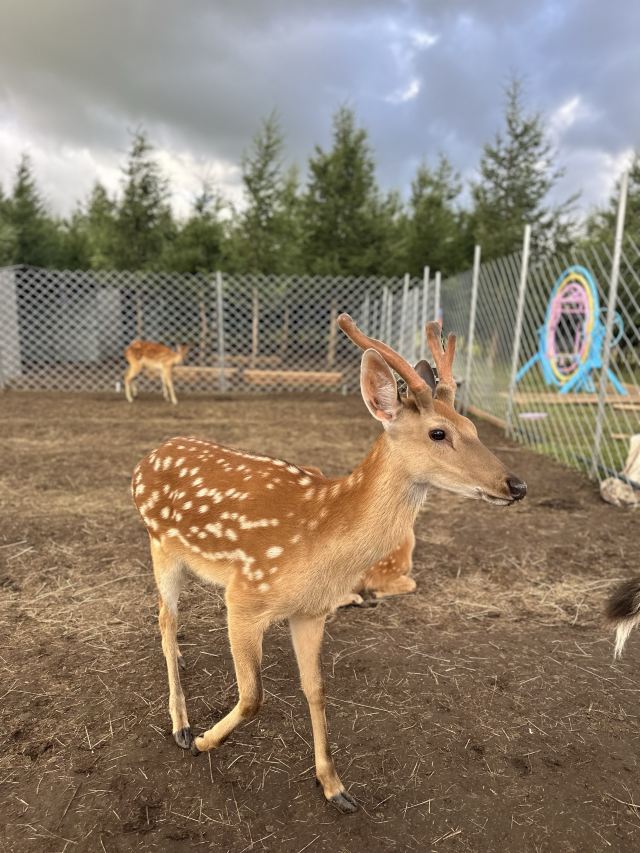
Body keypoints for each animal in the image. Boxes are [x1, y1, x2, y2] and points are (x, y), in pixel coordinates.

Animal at [131, 315, 527, 814]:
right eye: (438, 432)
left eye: (472, 425)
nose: (516, 485)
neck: (320, 548)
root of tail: (145, 460)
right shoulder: (244, 596)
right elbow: (253, 696)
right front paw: (205, 741)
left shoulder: (312, 611)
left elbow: (316, 689)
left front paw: (335, 786)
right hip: (160, 544)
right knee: (164, 618)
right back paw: (182, 725)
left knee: (170, 622)